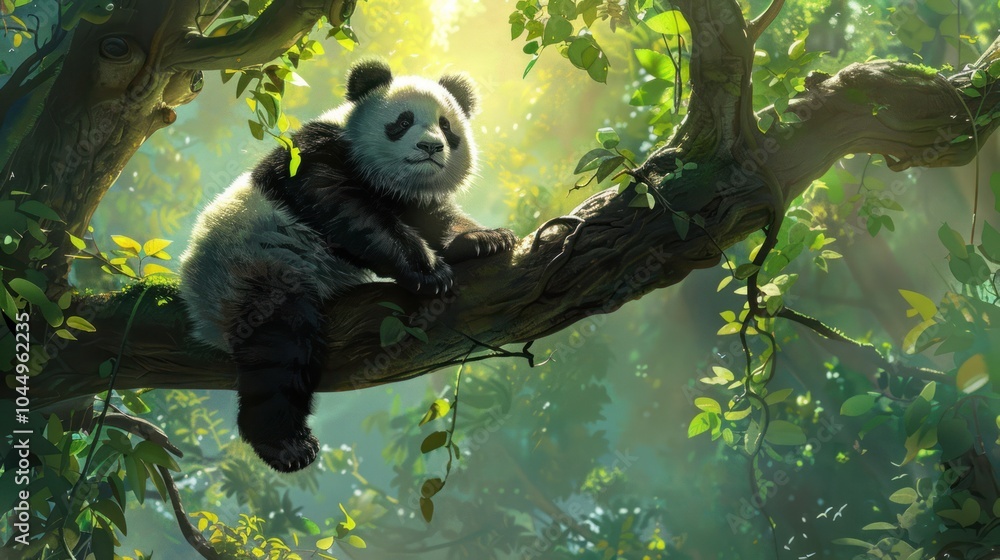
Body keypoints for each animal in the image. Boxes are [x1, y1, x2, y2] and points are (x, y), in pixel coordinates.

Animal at [179, 58, 518, 472]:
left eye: (446, 125)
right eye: (403, 121)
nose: (431, 147)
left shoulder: (405, 195)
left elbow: (434, 216)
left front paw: (484, 239)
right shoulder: (316, 155)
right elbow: (348, 212)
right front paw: (428, 272)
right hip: (254, 268)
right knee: (280, 346)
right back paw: (285, 443)